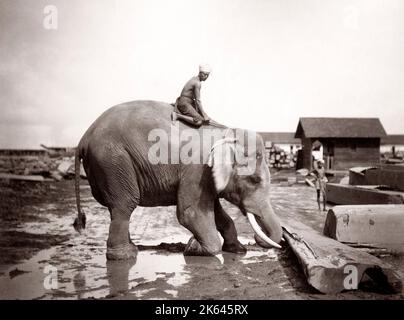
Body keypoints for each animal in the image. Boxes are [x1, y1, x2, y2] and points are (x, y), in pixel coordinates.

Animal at [75, 100, 284, 260]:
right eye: (254, 180)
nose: (256, 240)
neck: (226, 133)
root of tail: (83, 139)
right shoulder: (197, 169)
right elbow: (190, 212)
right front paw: (193, 247)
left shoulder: (206, 177)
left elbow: (217, 212)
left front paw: (237, 250)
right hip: (113, 161)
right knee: (125, 204)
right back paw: (125, 255)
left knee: (116, 207)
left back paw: (130, 247)